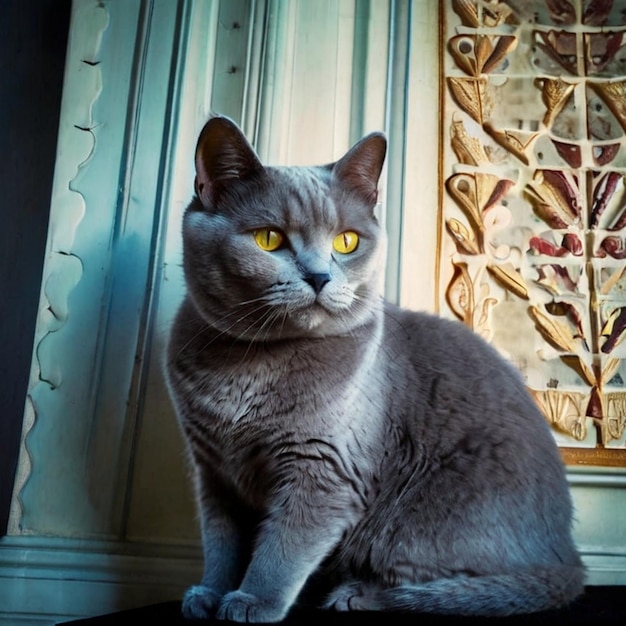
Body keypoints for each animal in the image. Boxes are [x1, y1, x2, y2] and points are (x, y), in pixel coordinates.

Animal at [163, 116, 584, 620]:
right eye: (269, 239)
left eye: (346, 241)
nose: (320, 276)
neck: (251, 365)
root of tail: (568, 557)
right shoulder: (214, 473)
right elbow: (222, 543)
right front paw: (211, 592)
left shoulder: (323, 470)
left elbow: (282, 548)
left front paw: (252, 600)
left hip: (421, 524)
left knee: (446, 586)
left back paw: (354, 594)